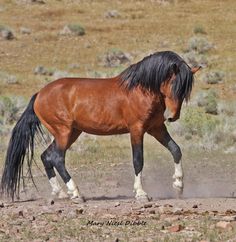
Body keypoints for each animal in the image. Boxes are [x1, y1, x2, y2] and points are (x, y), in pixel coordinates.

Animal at [0, 51, 201, 202]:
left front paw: (178, 185)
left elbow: (175, 150)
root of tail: (40, 94)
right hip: (63, 132)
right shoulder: (137, 129)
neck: (140, 90)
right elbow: (138, 160)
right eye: (173, 84)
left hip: (71, 132)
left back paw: (62, 193)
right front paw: (141, 194)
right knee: (56, 158)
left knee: (46, 156)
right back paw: (76, 194)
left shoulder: (156, 128)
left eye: (185, 90)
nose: (172, 116)